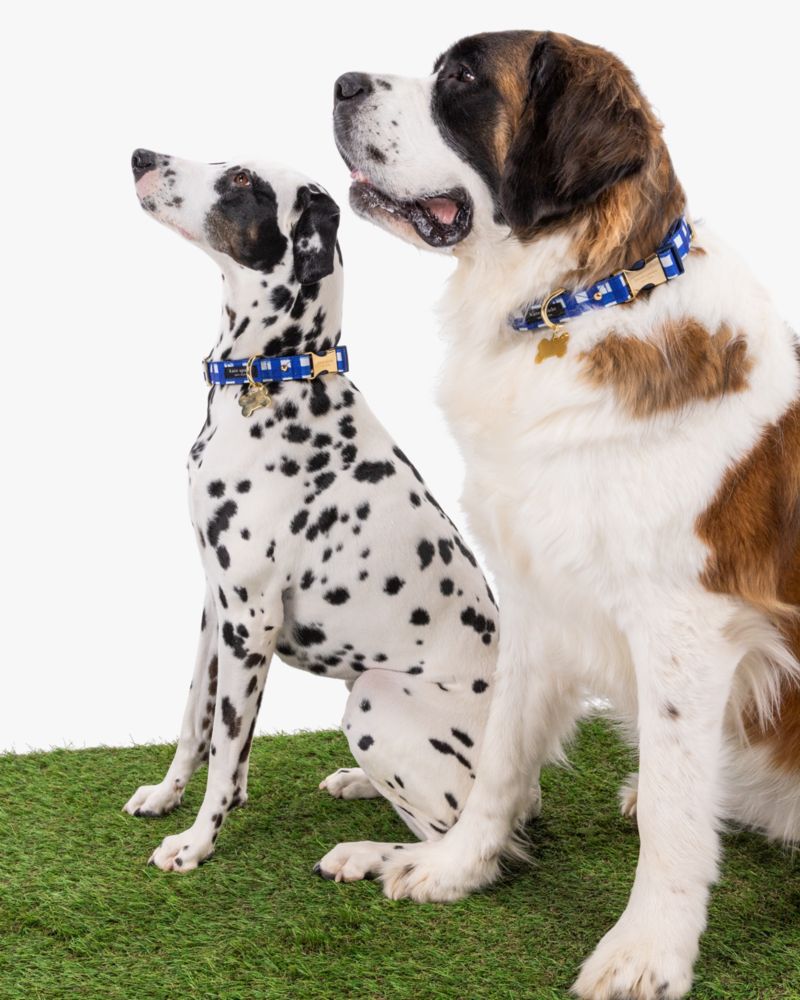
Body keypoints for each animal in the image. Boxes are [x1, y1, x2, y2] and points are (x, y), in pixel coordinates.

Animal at [123, 148, 520, 876]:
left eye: (241, 180)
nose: (142, 156)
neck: (277, 377)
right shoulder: (215, 607)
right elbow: (197, 721)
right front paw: (167, 797)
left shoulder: (250, 620)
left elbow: (225, 749)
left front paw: (197, 841)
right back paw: (358, 782)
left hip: (373, 696)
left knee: (464, 848)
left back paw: (364, 855)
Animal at [330, 27, 800, 996]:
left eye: (463, 77)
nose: (342, 81)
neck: (581, 301)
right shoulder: (533, 591)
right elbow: (500, 760)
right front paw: (454, 868)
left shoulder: (687, 629)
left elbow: (671, 812)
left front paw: (647, 950)